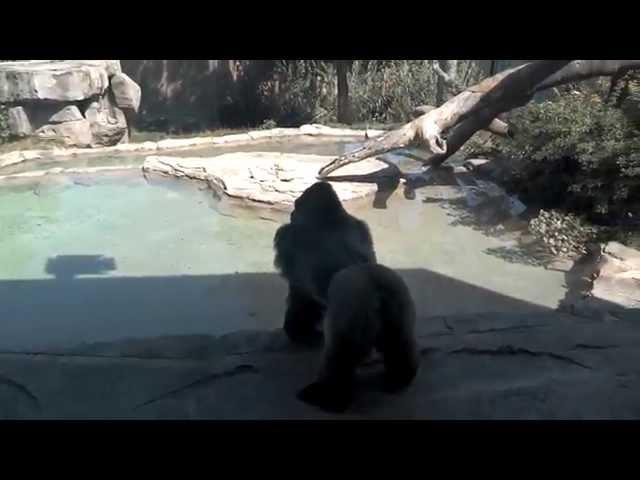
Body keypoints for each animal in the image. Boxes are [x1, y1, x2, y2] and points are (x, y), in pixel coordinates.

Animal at [274, 182, 420, 410]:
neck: (328, 216)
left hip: (352, 308)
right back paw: (400, 377)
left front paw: (299, 332)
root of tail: (374, 284)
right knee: (400, 342)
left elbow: (301, 298)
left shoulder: (288, 238)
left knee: (340, 355)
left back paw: (330, 395)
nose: (291, 214)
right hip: (398, 298)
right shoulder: (360, 226)